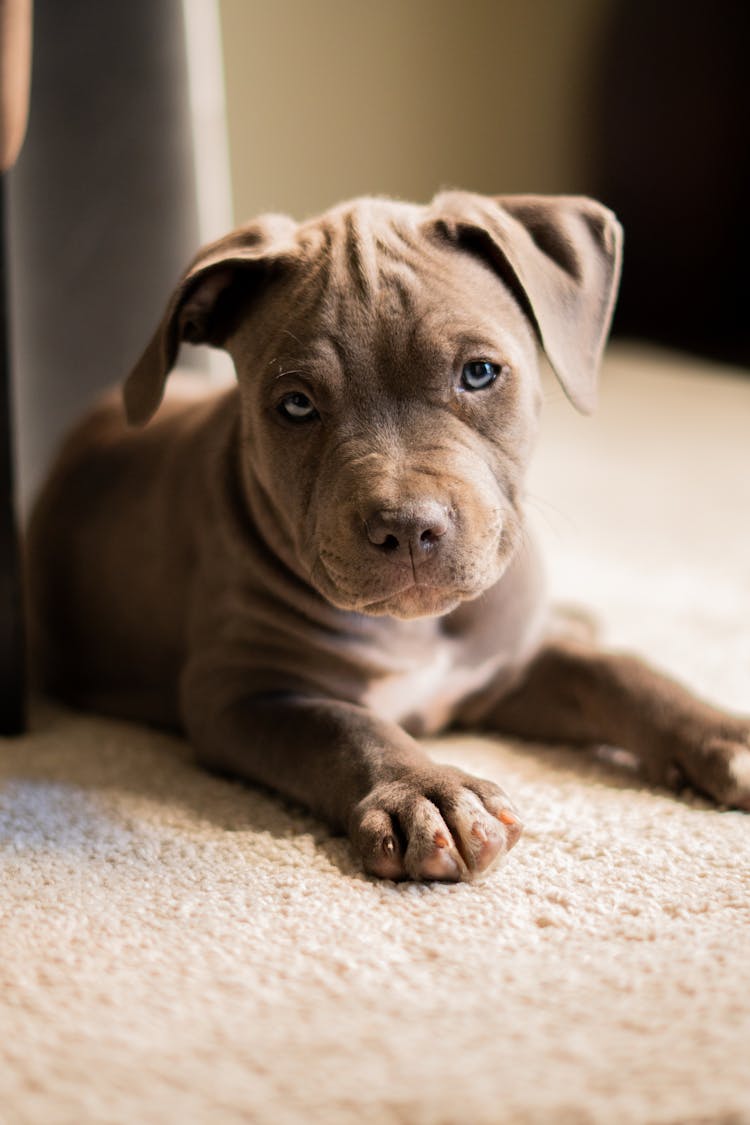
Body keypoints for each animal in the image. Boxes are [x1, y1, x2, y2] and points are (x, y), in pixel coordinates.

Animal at [27, 191, 750, 877]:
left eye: (480, 372)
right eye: (296, 405)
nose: (407, 528)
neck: (421, 629)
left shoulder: (503, 668)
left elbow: (617, 672)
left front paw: (724, 731)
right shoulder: (239, 691)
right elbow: (344, 725)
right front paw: (427, 793)